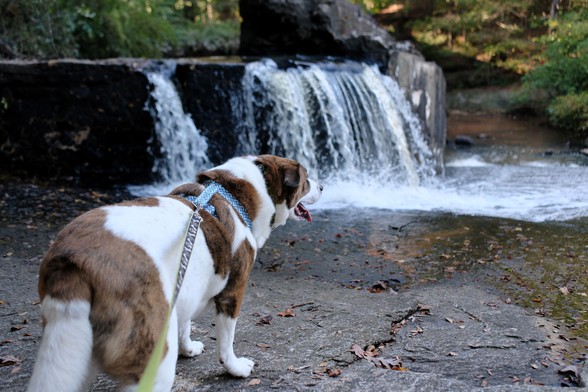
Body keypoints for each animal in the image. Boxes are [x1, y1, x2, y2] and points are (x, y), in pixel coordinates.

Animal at [26, 155, 322, 392]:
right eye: (306, 180)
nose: (321, 186)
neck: (234, 193)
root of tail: (76, 261)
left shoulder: (186, 281)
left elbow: (185, 321)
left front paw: (188, 347)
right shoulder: (232, 293)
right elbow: (226, 341)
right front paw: (235, 367)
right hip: (152, 354)